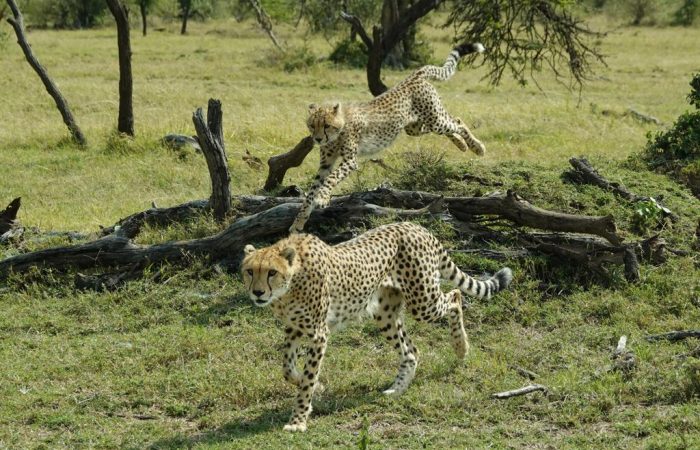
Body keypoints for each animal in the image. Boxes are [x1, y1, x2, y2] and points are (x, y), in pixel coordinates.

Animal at [240, 222, 513, 432]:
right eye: (250, 271)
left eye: (272, 272)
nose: (257, 293)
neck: (290, 285)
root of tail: (415, 226)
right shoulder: (295, 328)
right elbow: (287, 369)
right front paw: (317, 386)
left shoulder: (318, 333)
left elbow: (306, 377)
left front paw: (298, 420)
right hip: (385, 313)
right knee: (411, 351)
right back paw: (397, 389)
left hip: (423, 302)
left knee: (455, 297)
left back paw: (460, 347)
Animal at [290, 42, 487, 233]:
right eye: (312, 125)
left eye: (326, 125)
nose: (317, 139)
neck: (338, 131)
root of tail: (413, 77)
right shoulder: (326, 164)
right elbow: (311, 192)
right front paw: (298, 223)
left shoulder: (350, 161)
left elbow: (331, 179)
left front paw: (322, 198)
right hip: (415, 127)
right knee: (449, 125)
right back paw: (461, 145)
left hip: (434, 119)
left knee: (458, 121)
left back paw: (477, 147)